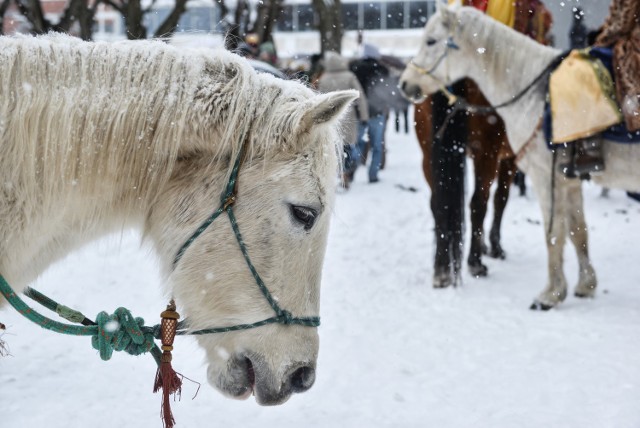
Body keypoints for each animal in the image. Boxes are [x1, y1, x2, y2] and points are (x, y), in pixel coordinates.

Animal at [418, 80, 516, 288]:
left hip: (428, 153)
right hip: (487, 151)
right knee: (479, 202)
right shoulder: (510, 157)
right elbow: (500, 199)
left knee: (437, 204)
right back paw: (475, 263)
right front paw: (495, 246)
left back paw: (441, 268)